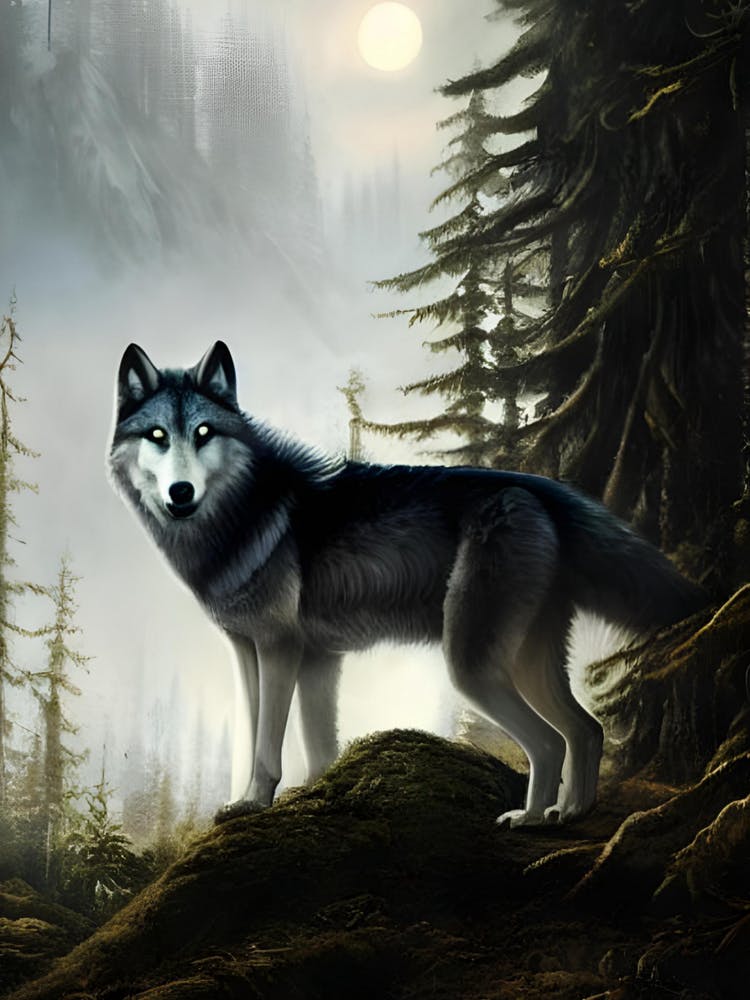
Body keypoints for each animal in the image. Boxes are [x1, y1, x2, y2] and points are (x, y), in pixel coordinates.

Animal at [108, 341, 702, 827]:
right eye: (157, 436)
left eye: (203, 433)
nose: (181, 492)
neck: (241, 514)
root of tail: (542, 490)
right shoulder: (284, 656)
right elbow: (310, 745)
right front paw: (312, 796)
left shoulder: (280, 650)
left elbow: (265, 746)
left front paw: (254, 804)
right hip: (525, 662)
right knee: (585, 730)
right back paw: (570, 813)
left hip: (472, 668)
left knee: (550, 741)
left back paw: (531, 819)